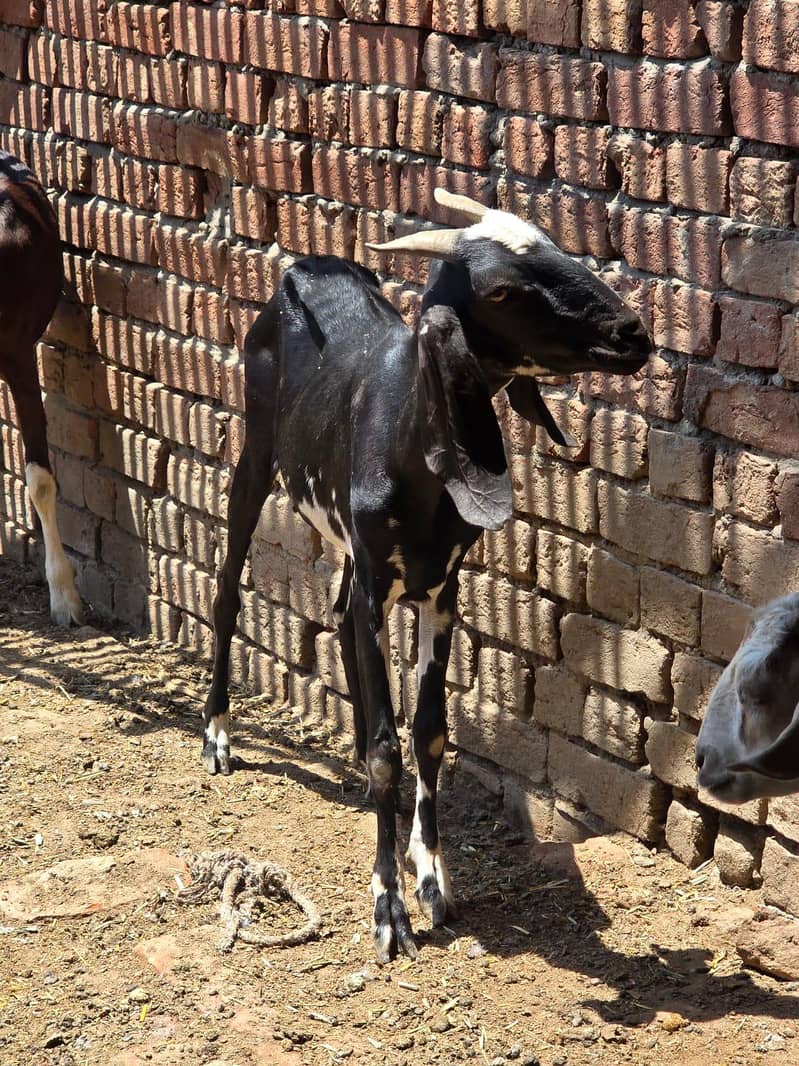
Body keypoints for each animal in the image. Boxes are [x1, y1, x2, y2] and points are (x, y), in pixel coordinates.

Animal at [202, 189, 652, 962]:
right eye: (499, 289)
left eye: (556, 245)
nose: (632, 333)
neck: (411, 448)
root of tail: (306, 266)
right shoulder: (379, 587)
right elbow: (390, 746)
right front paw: (388, 907)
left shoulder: (441, 591)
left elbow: (429, 731)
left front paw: (433, 876)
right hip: (255, 453)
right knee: (229, 586)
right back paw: (220, 734)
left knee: (334, 620)